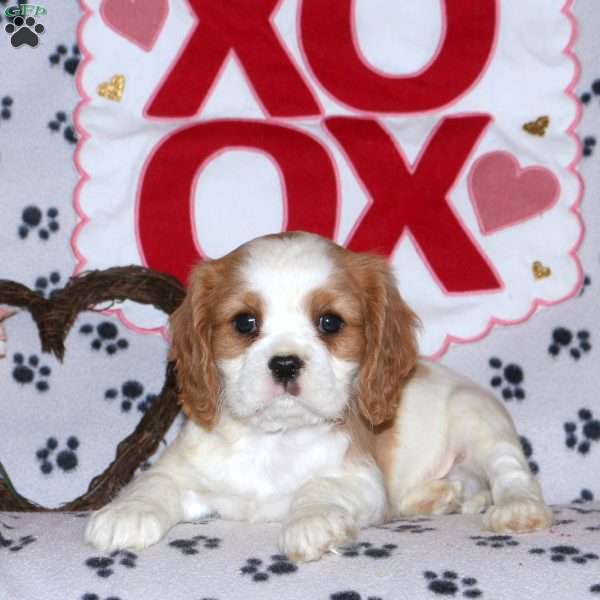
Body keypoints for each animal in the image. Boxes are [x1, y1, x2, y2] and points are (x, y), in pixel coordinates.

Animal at [85, 231, 552, 564]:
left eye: (330, 322)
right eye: (245, 322)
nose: (285, 363)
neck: (272, 439)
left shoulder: (359, 478)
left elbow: (319, 486)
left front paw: (311, 522)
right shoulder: (184, 466)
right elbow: (154, 482)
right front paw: (125, 513)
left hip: (480, 419)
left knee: (513, 472)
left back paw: (517, 510)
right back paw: (434, 497)